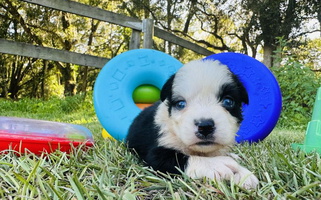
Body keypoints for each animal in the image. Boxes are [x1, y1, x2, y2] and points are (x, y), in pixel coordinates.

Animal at [126, 59, 258, 189]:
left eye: (228, 101)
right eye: (181, 104)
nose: (205, 127)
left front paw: (244, 174)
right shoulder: (157, 153)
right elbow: (182, 159)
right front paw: (218, 164)